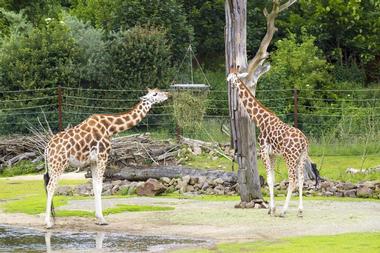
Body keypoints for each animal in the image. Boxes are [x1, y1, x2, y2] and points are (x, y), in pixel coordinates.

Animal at [43, 88, 170, 227]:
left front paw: (98, 218)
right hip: (59, 164)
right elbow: (99, 186)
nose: (168, 94)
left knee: (47, 184)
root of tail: (47, 148)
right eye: (155, 94)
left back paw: (51, 220)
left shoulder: (93, 161)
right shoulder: (103, 157)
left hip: (51, 165)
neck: (111, 127)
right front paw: (102, 219)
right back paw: (48, 222)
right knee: (51, 186)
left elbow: (94, 186)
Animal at [227, 70, 310, 216]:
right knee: (301, 179)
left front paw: (272, 209)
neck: (260, 121)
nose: (227, 80)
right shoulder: (273, 154)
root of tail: (304, 141)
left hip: (290, 157)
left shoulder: (264, 151)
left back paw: (283, 211)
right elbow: (273, 179)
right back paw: (300, 210)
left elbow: (270, 180)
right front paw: (272, 208)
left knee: (293, 180)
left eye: (230, 77)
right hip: (302, 156)